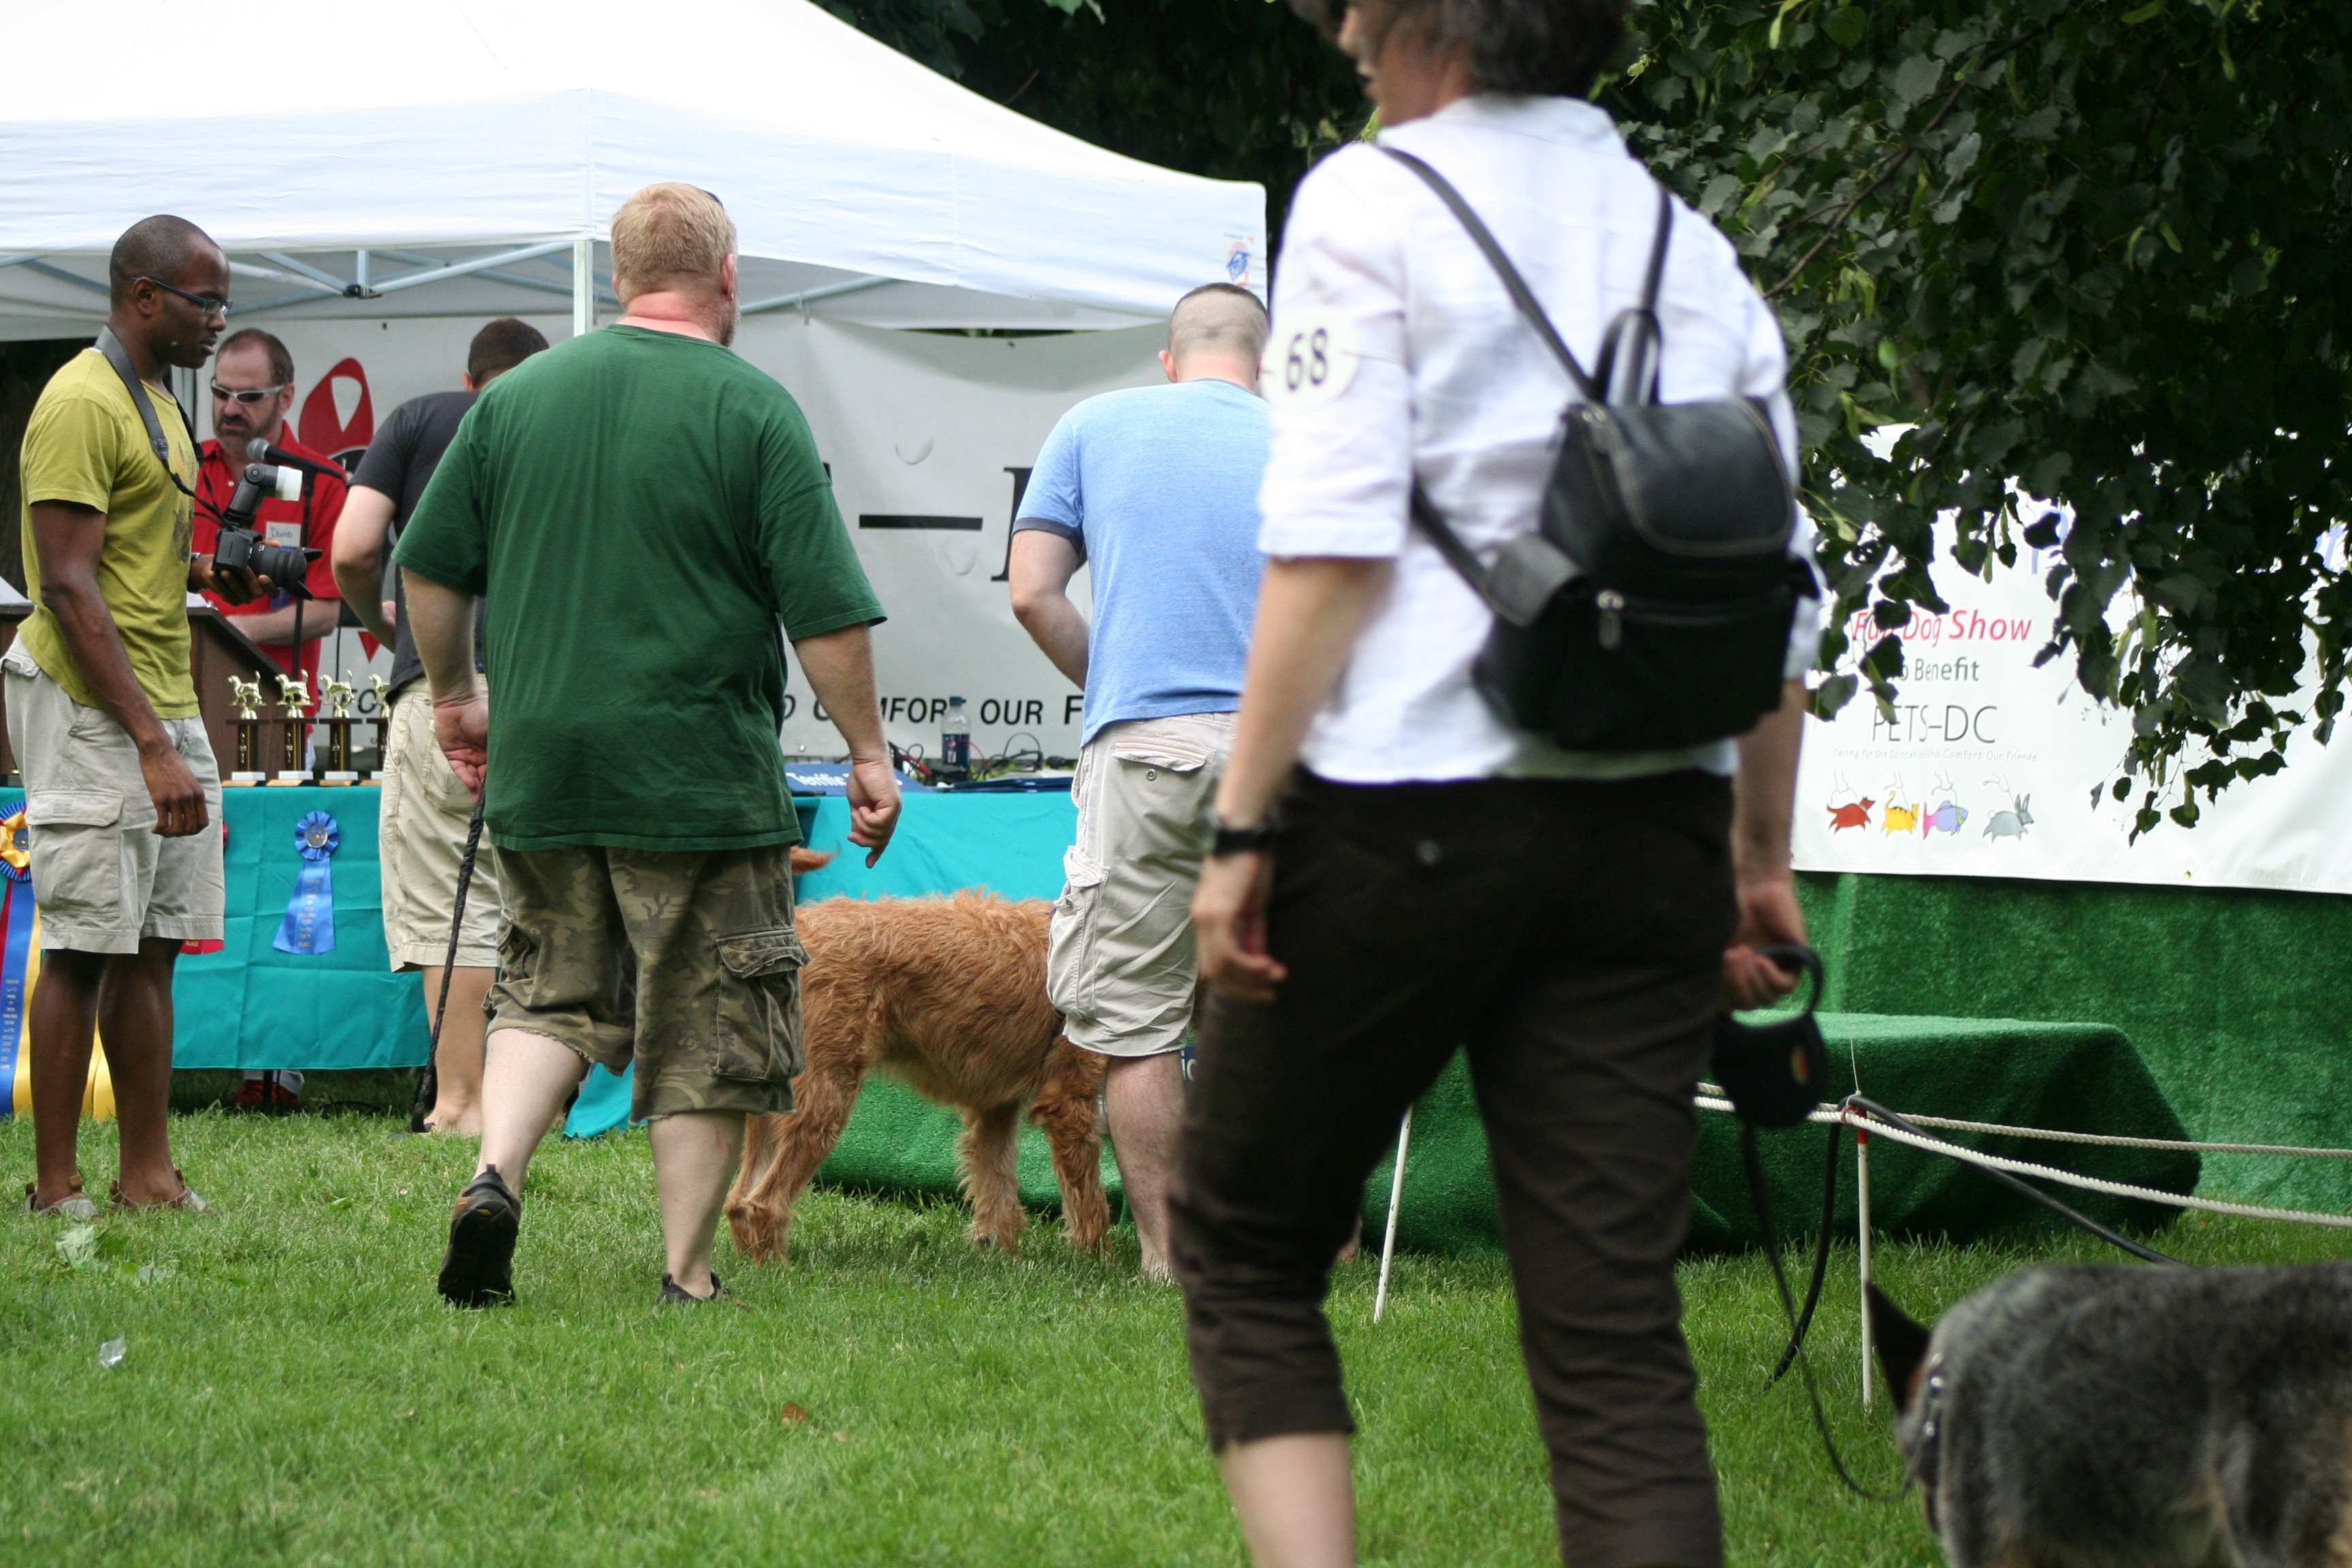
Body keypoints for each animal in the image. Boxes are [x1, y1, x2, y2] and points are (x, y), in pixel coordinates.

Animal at [724, 879, 1110, 1269]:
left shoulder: (996, 1108)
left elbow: (997, 1190)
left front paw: (1003, 1260)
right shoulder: (1069, 1103)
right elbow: (1090, 1202)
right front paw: (1095, 1264)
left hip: (778, 1100)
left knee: (739, 1201)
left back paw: (754, 1266)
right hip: (825, 1095)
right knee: (764, 1202)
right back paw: (778, 1269)